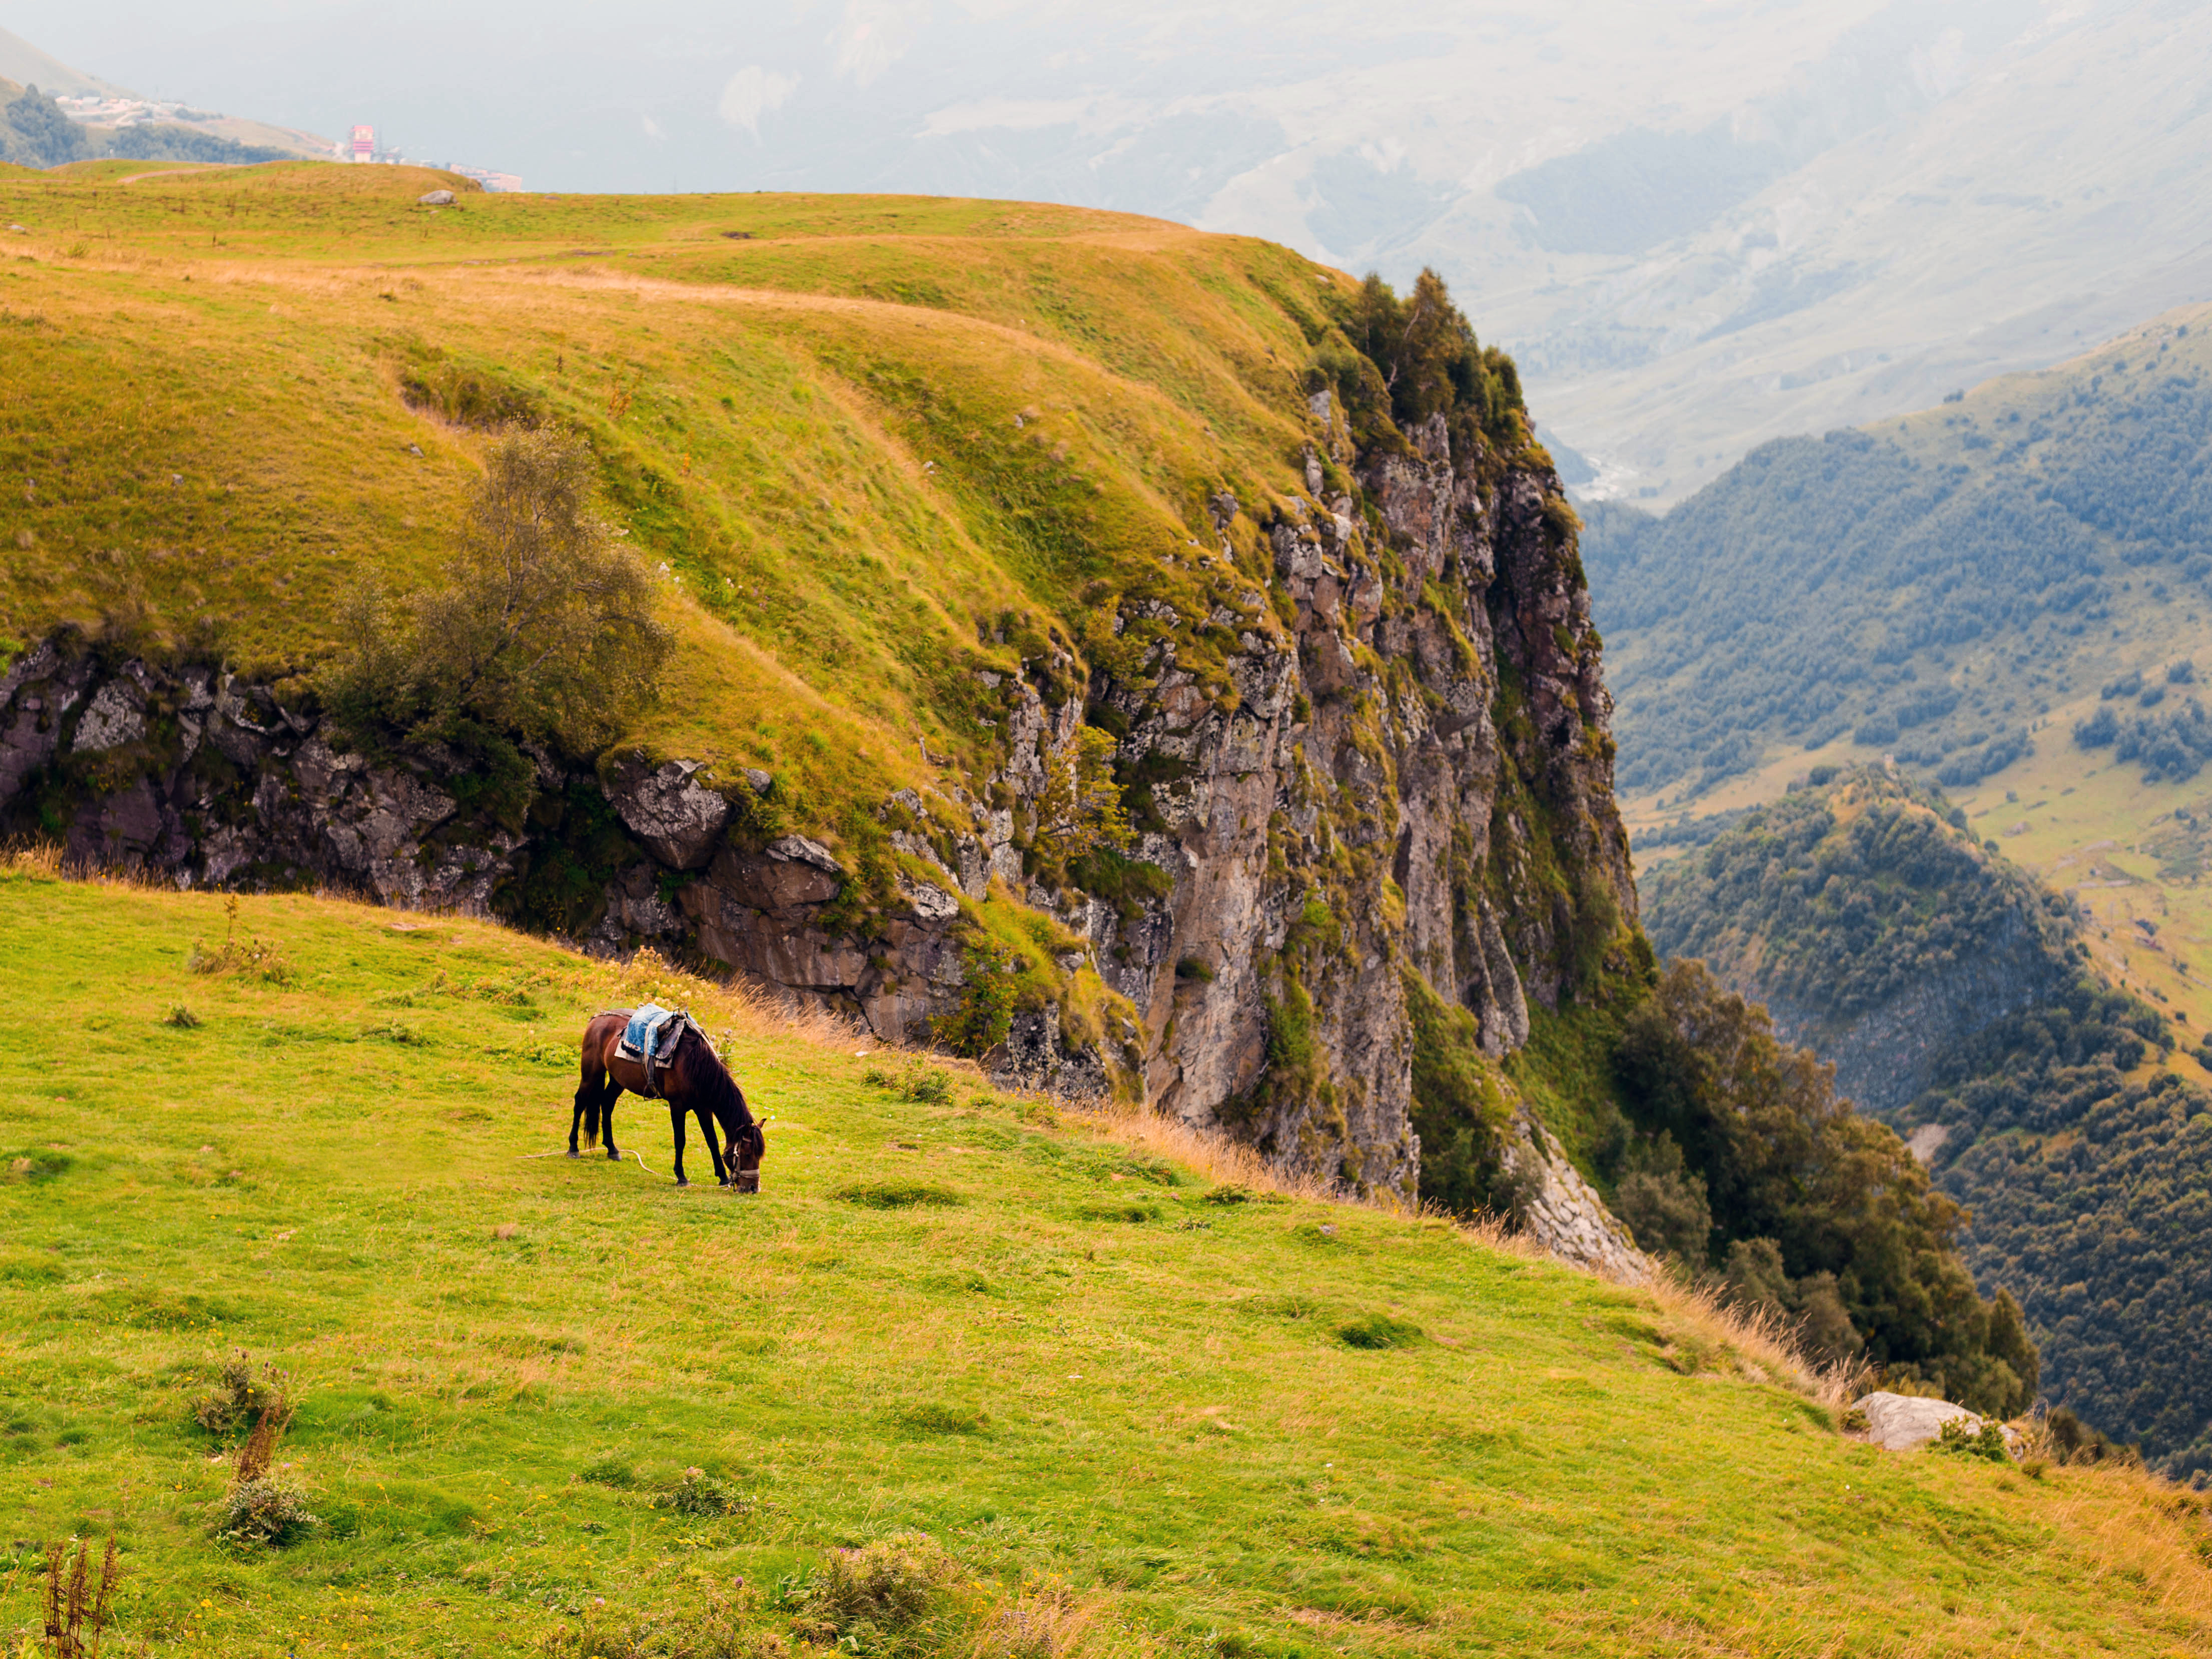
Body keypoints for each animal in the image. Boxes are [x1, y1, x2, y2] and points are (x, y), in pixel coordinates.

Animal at [575, 1008, 765, 1185]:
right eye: (747, 1154)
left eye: (759, 1155)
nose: (752, 1188)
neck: (695, 1065)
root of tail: (599, 1017)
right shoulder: (677, 1105)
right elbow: (680, 1140)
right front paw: (681, 1177)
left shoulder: (704, 1108)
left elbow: (712, 1140)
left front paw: (723, 1178)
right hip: (591, 1073)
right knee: (580, 1102)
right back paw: (573, 1149)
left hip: (618, 1079)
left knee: (607, 1103)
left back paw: (612, 1150)